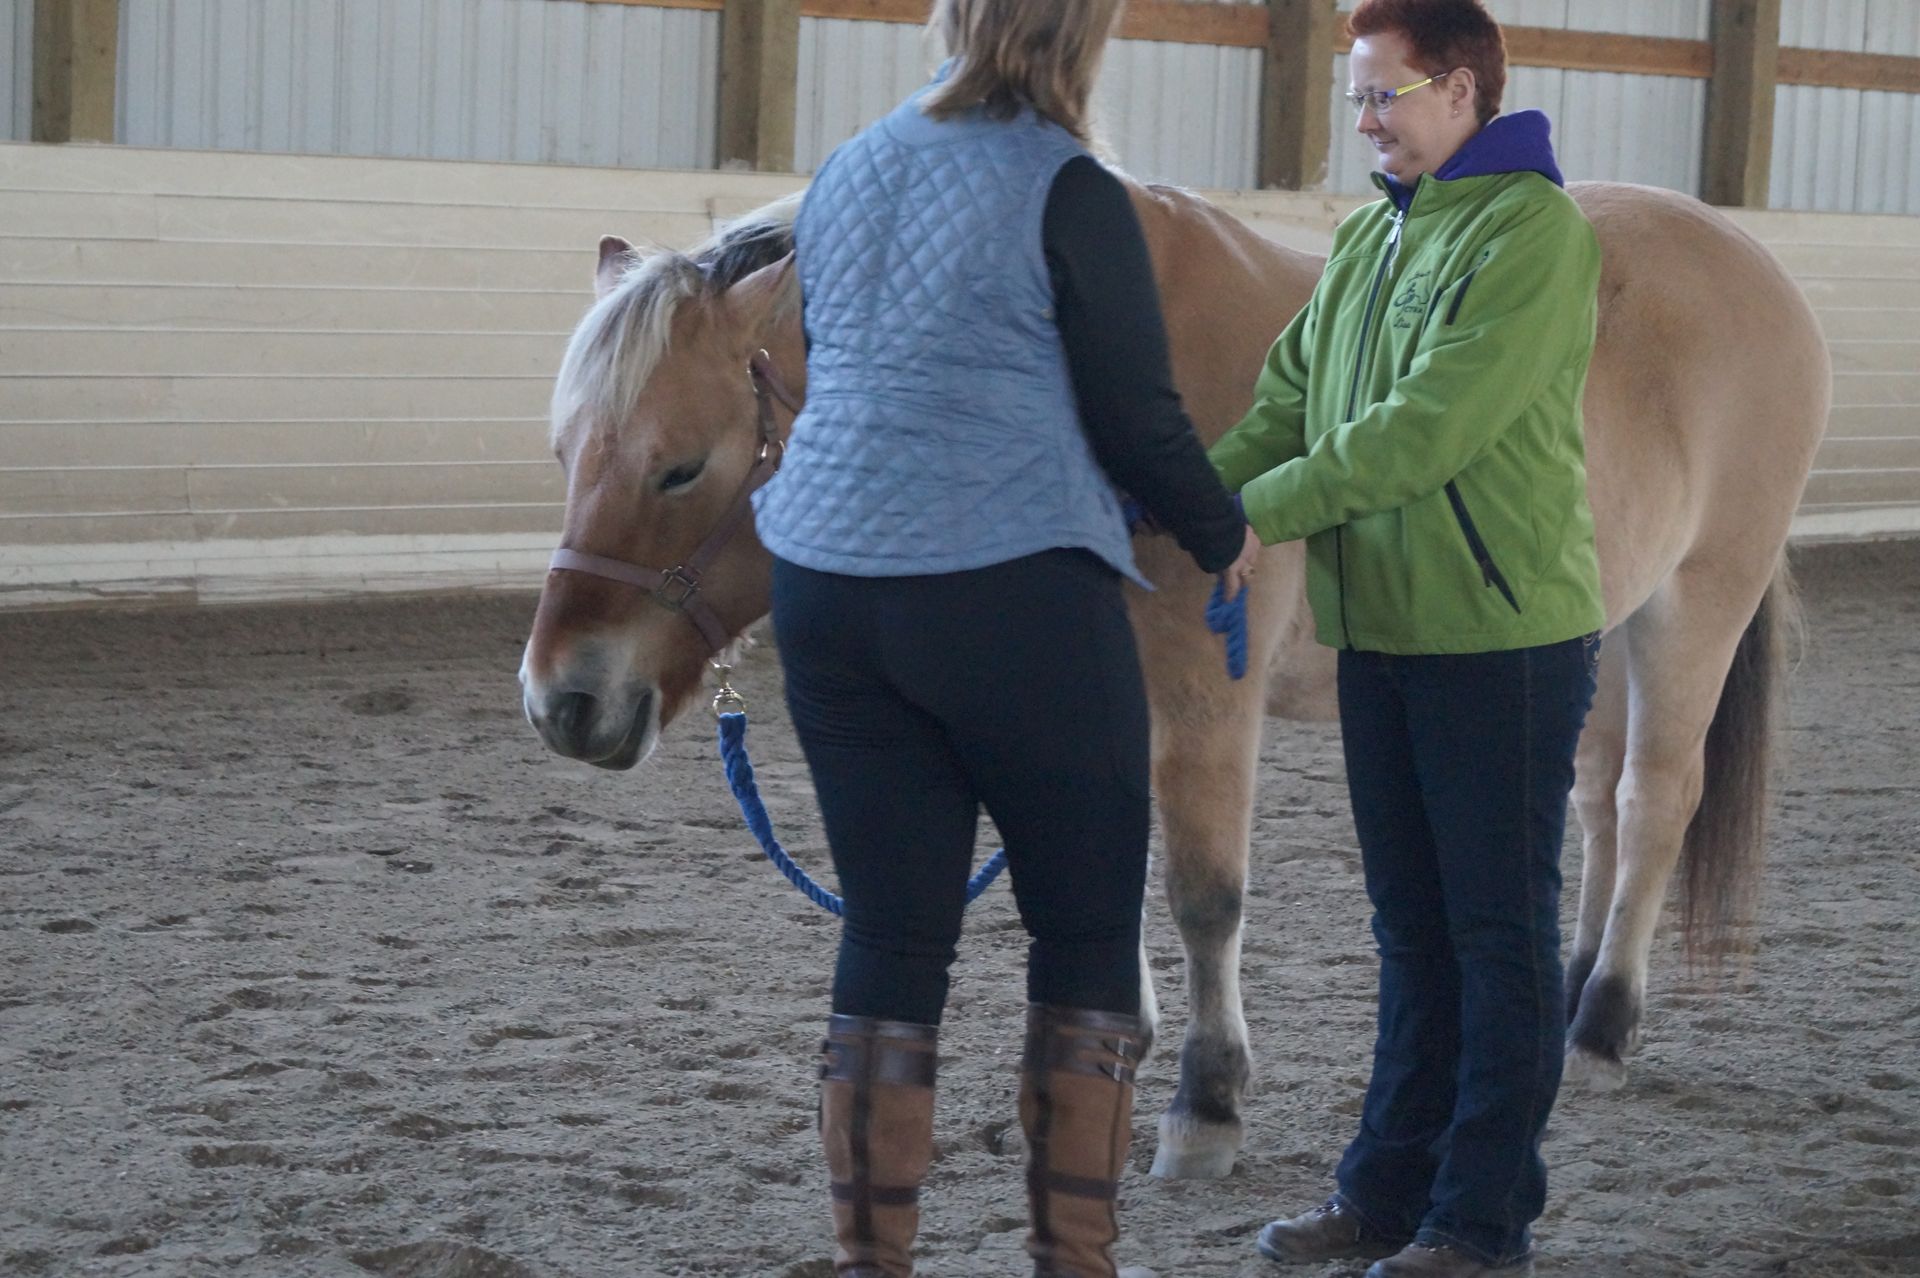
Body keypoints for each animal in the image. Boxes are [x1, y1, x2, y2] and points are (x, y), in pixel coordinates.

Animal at [519, 175, 1828, 1180]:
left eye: (682, 467)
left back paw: (1603, 1029)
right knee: (1595, 804)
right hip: (1586, 631)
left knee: (1654, 802)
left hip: (1695, 606)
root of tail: (1750, 261)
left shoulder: (1206, 701)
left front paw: (1207, 1105)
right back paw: (1568, 1003)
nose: (561, 700)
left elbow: (1203, 898)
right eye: (565, 450)